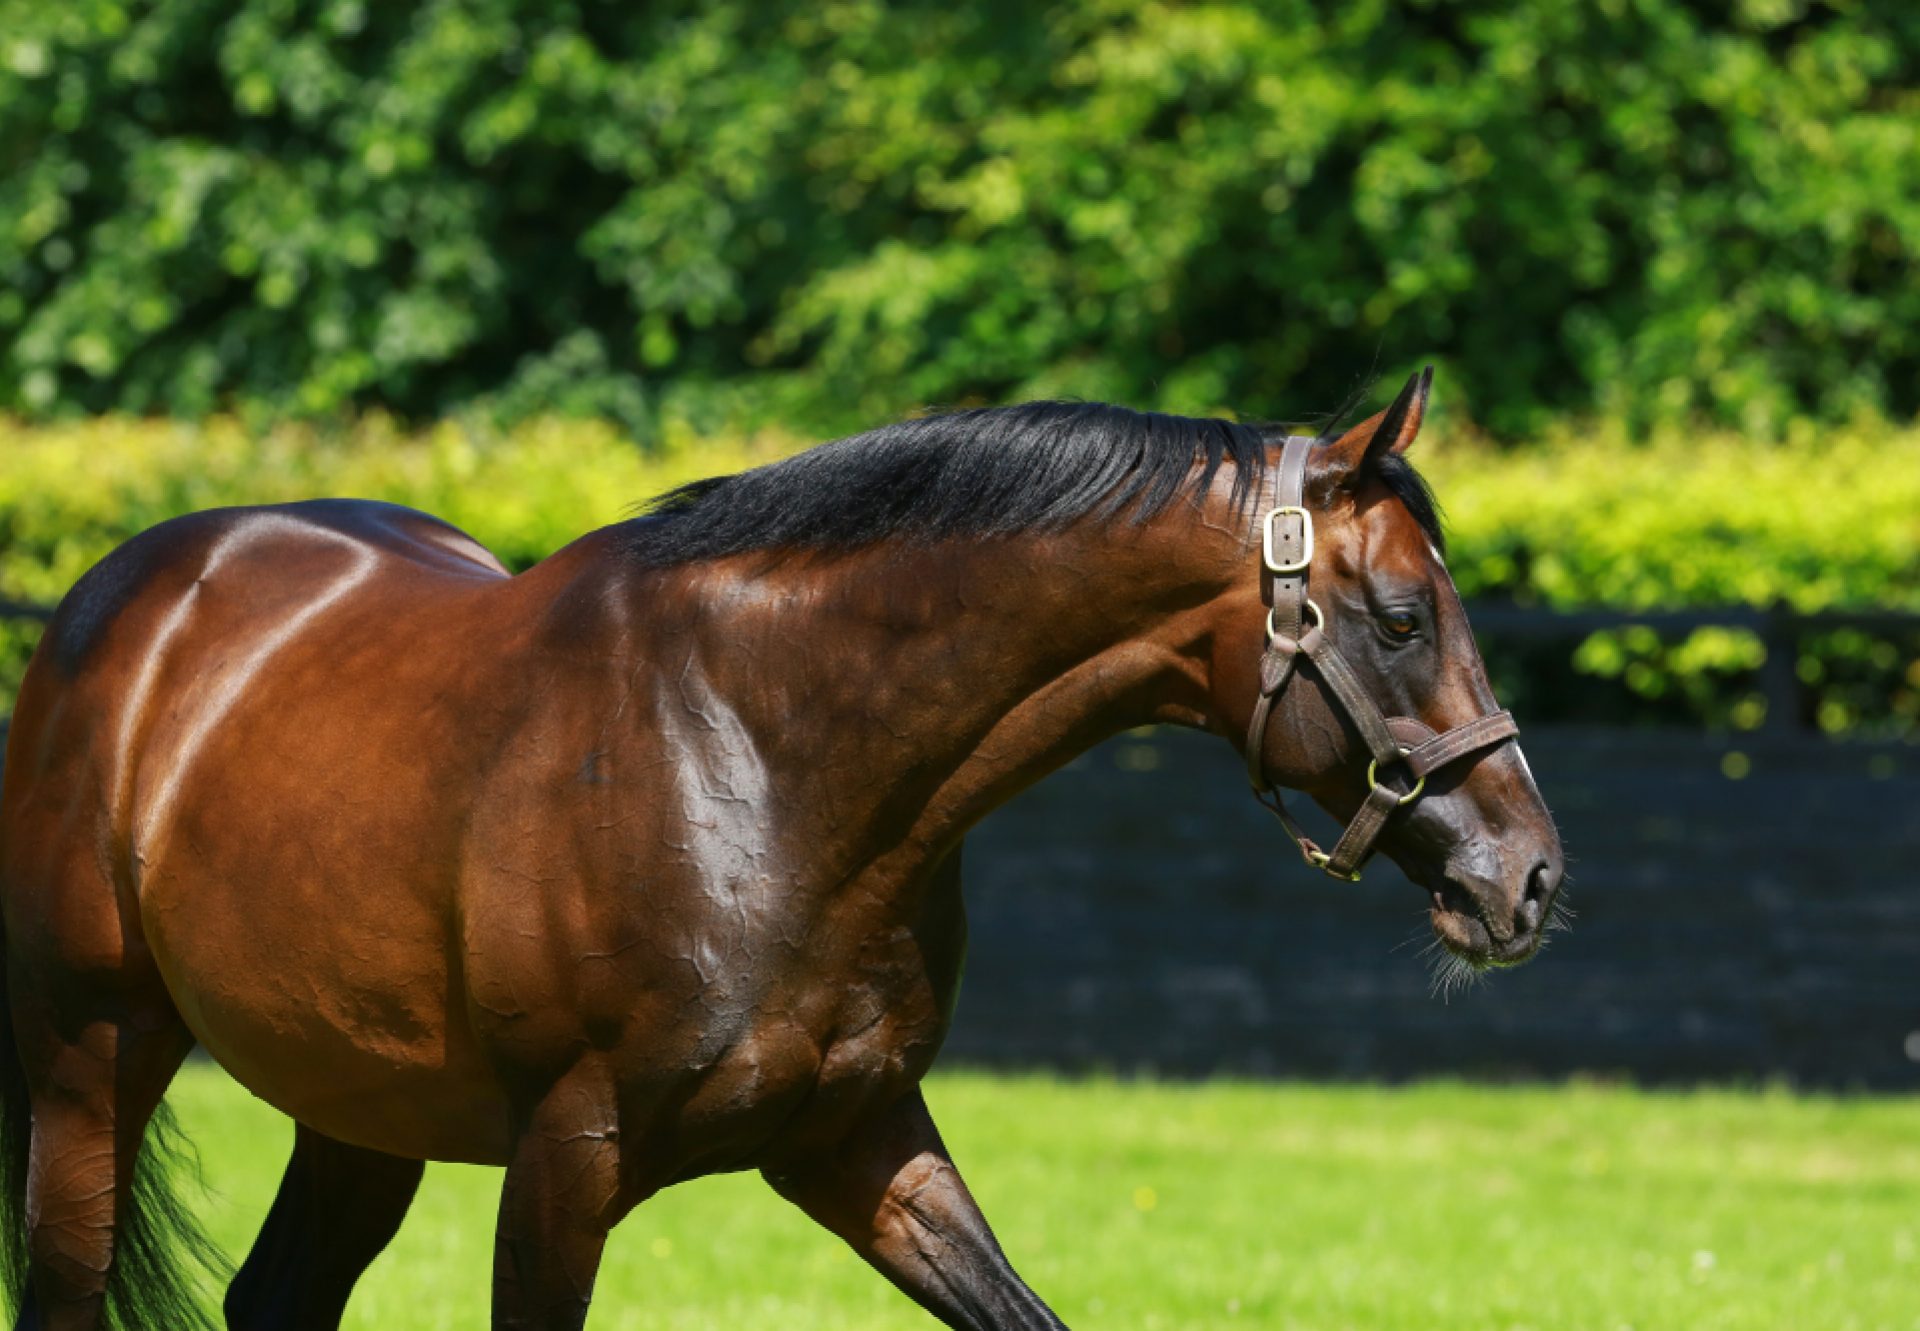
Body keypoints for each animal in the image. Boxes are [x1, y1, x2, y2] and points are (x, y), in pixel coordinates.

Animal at [0, 366, 1559, 1329]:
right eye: (1404, 617)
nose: (1528, 875)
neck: (761, 756)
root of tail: (118, 595)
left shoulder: (857, 1138)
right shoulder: (564, 1160)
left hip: (357, 1104)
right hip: (94, 1051)